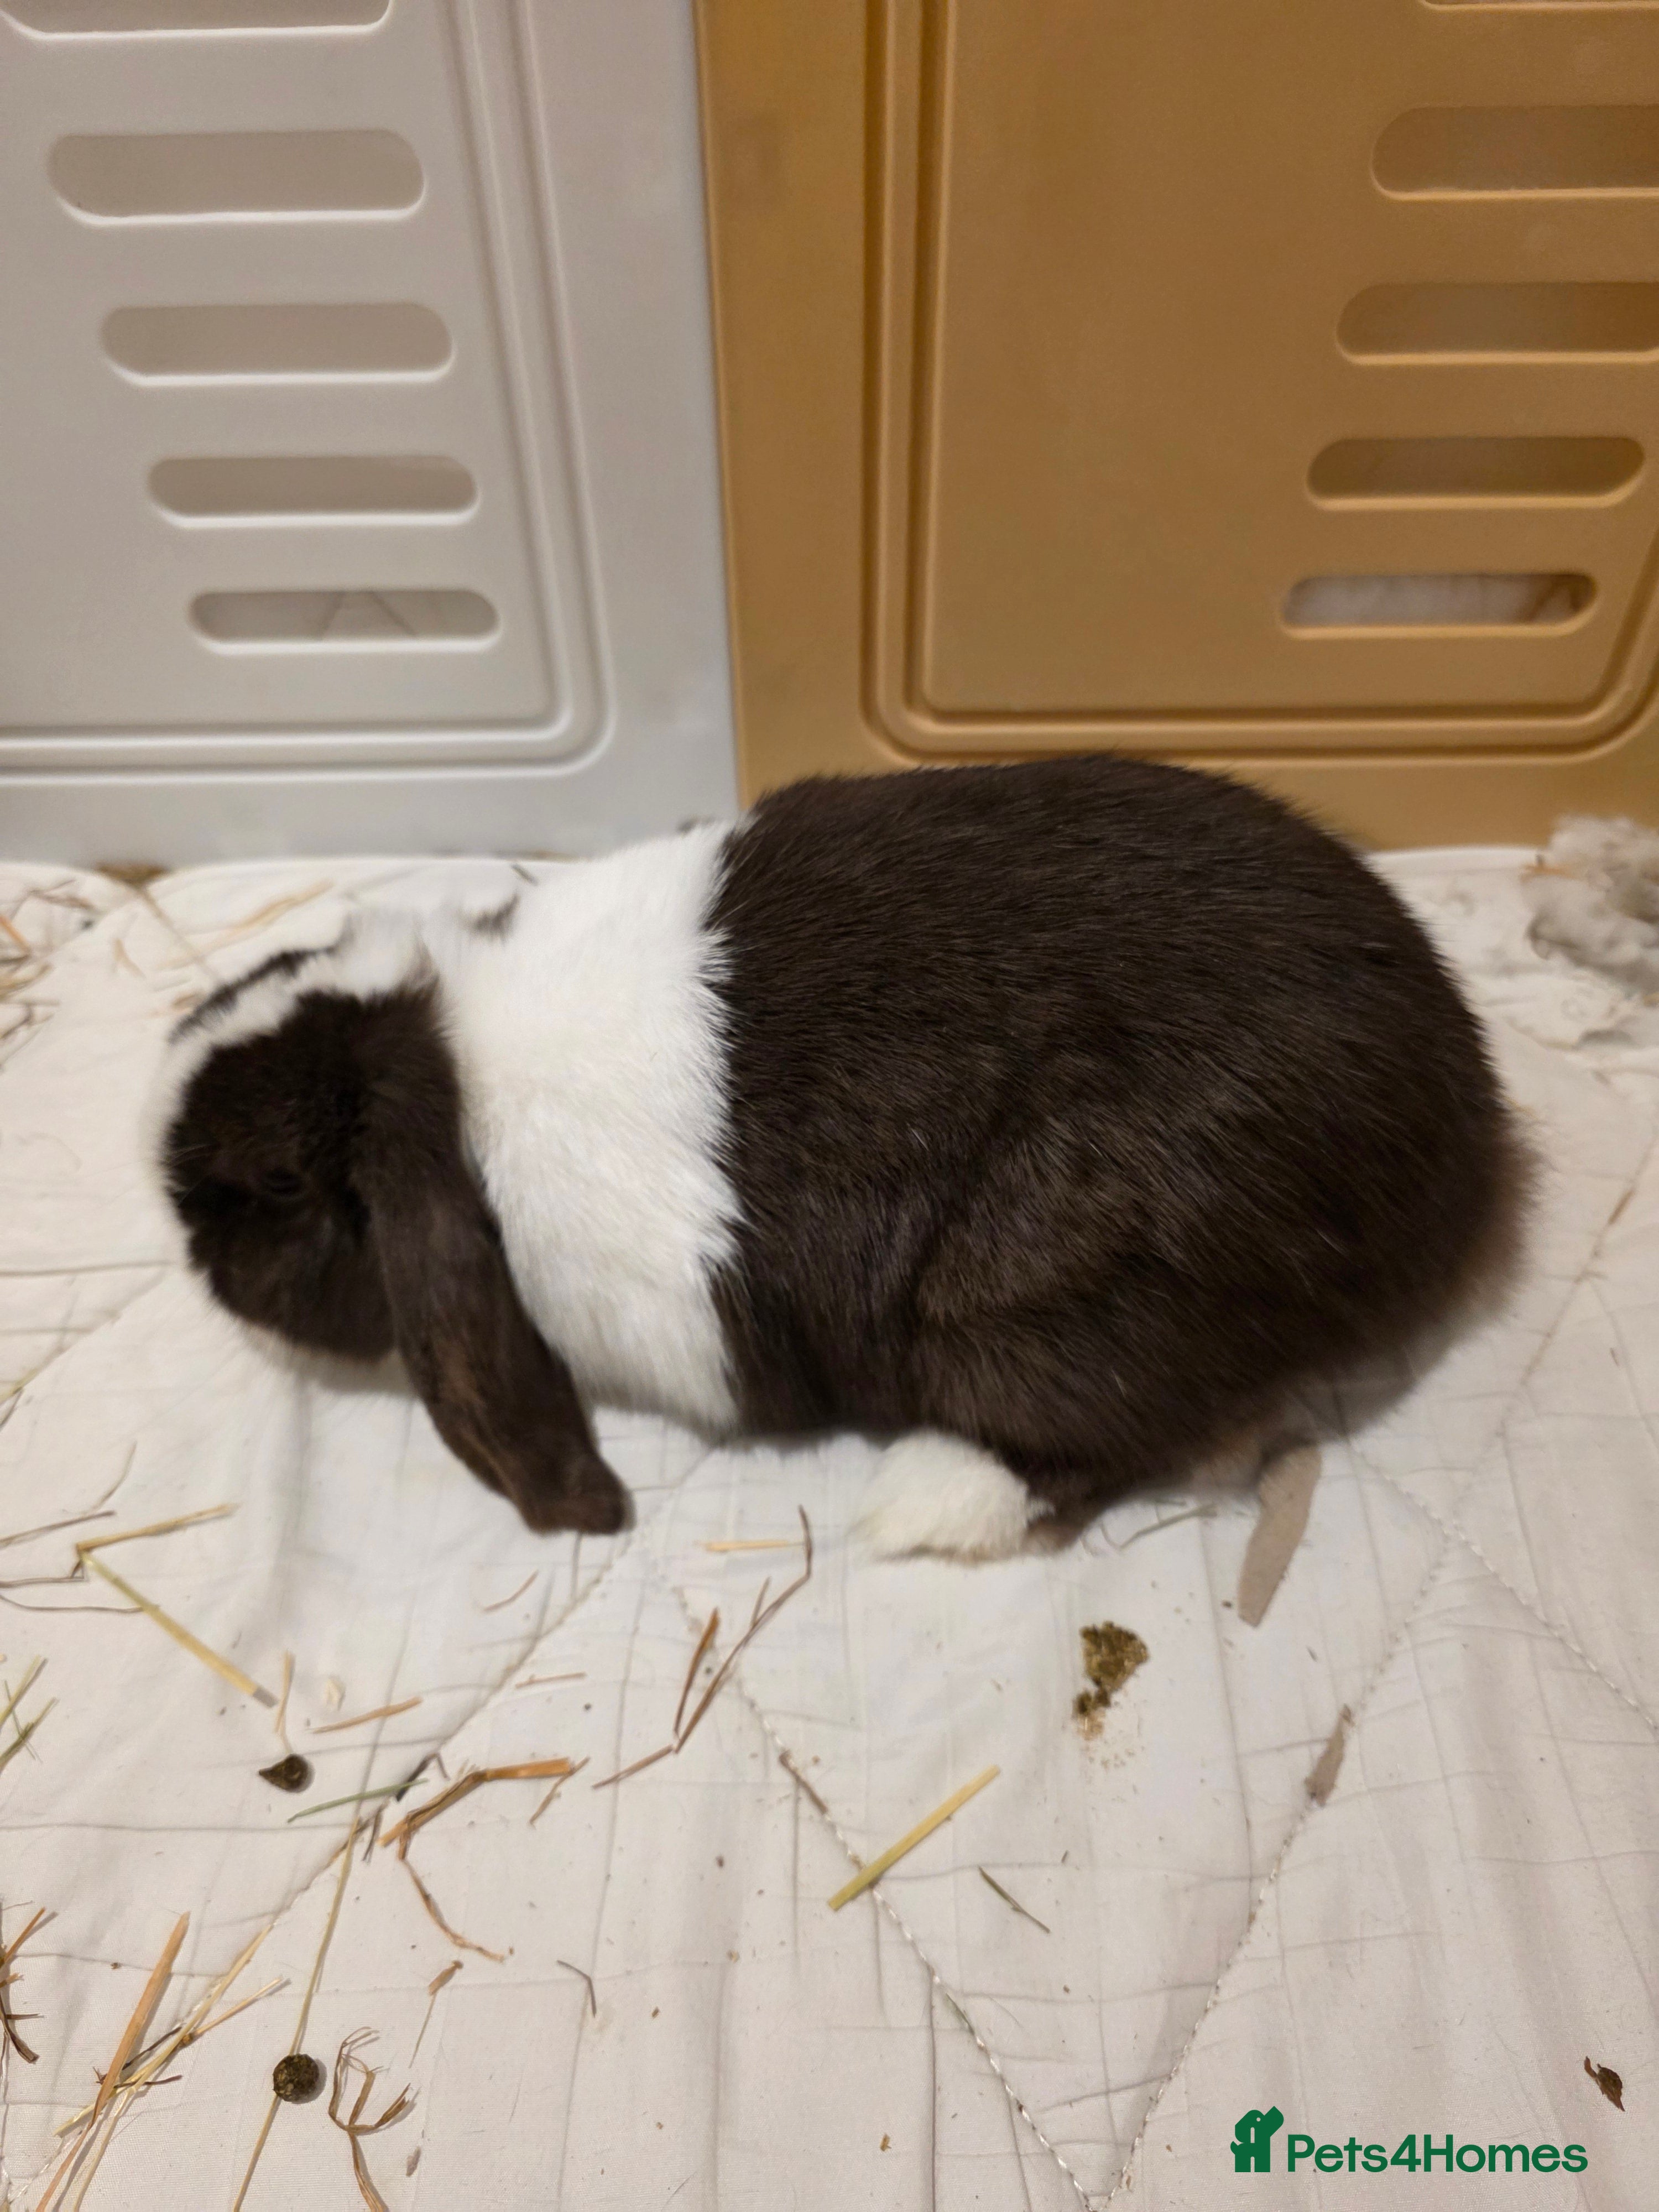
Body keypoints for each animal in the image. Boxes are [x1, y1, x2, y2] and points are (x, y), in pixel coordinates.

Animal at [149, 758, 1530, 1556]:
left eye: (274, 1184)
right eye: (289, 957)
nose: (175, 1213)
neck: (446, 1068)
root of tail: (1465, 1148)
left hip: (1040, 1302)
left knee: (1098, 1435)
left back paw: (919, 1500)